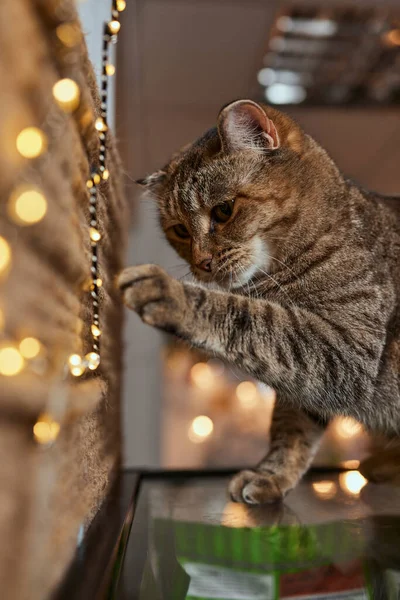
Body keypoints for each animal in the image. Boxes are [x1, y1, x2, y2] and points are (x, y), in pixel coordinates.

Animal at [117, 101, 400, 504]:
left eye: (223, 210)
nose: (201, 263)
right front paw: (272, 476)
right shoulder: (310, 376)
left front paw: (171, 292)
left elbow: (246, 316)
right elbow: (290, 429)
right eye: (180, 230)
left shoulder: (345, 346)